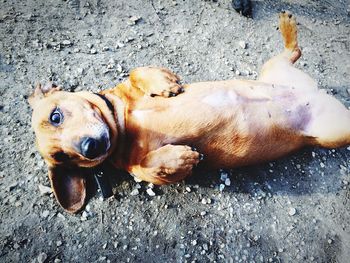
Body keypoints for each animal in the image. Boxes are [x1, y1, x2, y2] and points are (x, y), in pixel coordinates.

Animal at [28, 12, 350, 214]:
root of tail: (313, 92)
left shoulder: (128, 88)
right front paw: (181, 159)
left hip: (277, 73)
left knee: (293, 51)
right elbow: (148, 170)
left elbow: (135, 73)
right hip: (334, 132)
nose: (89, 148)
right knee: (295, 55)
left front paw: (163, 84)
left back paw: (287, 26)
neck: (123, 125)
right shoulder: (137, 165)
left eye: (55, 116)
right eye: (62, 157)